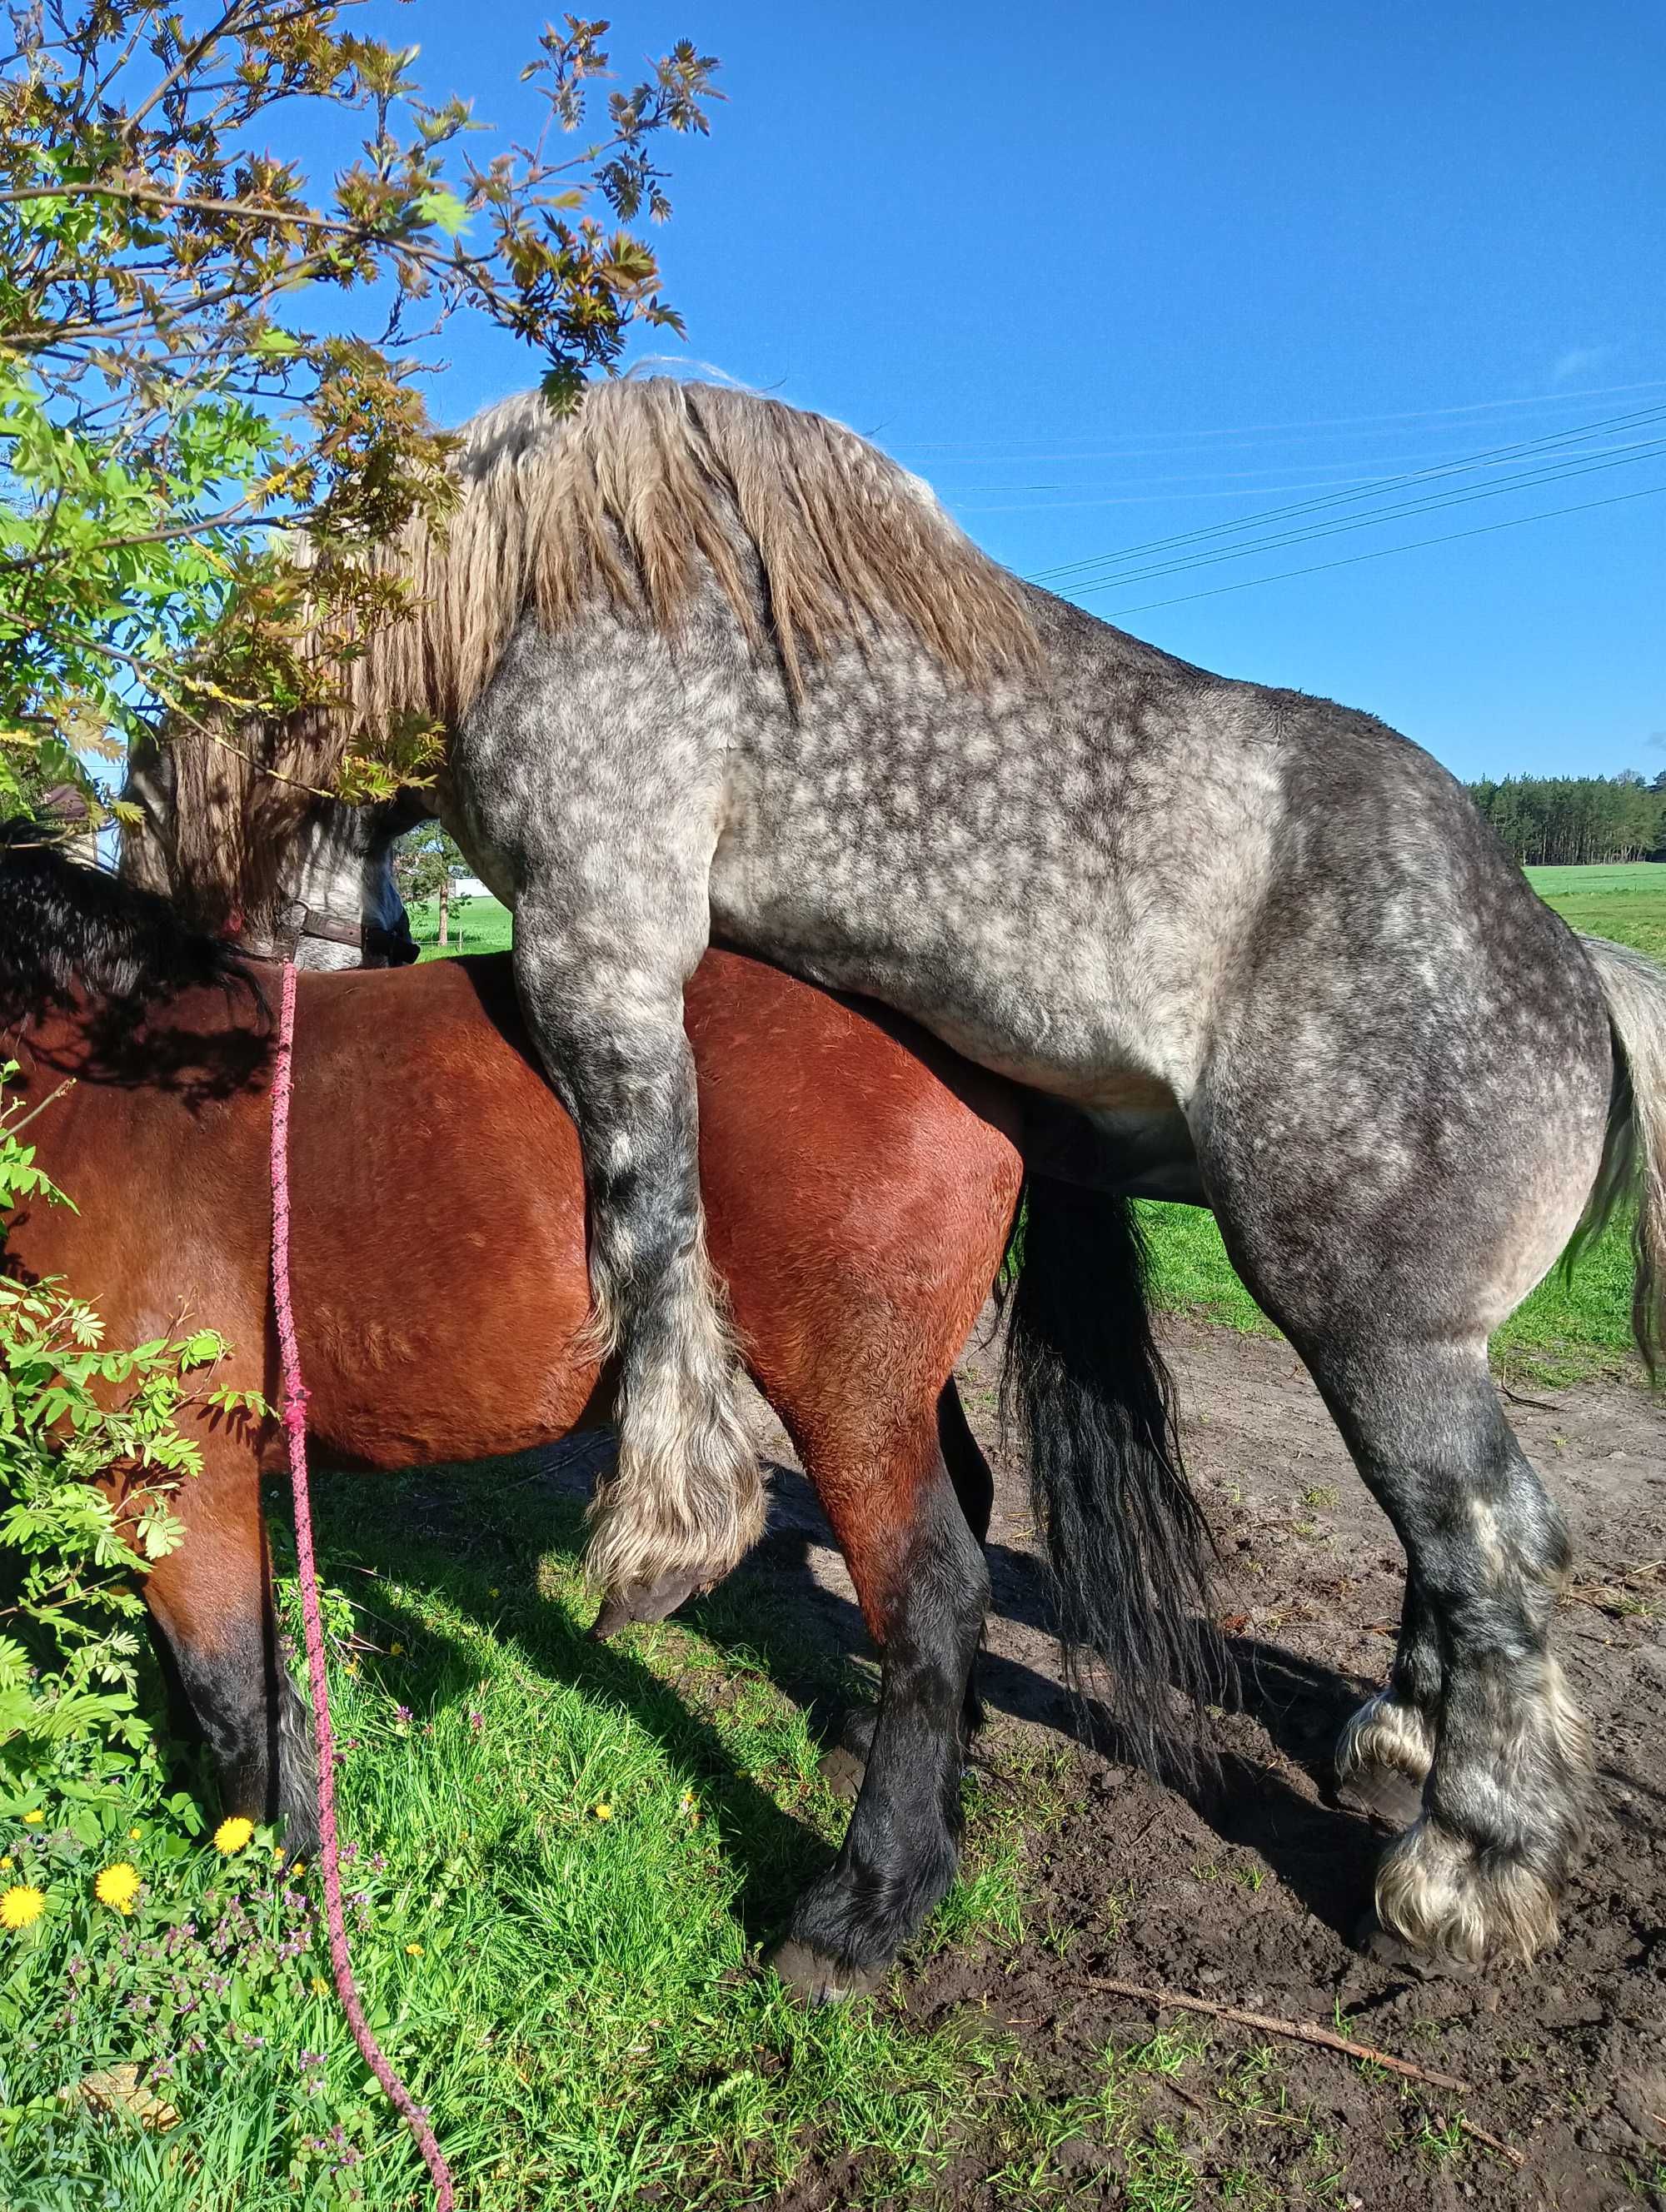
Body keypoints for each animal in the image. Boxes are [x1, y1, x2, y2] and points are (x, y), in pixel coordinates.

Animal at [0, 835, 1212, 2000]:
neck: (112, 1090)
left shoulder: (171, 1474)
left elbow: (232, 1700)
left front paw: (270, 1890)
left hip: (849, 1391)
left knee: (935, 1596)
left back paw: (862, 1908)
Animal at [156, 380, 1664, 1973]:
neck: (529, 573)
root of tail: (1573, 968)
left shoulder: (604, 935)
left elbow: (650, 1207)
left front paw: (666, 1526)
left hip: (1373, 1326)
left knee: (1494, 1541)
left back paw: (1464, 1867)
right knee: (1446, 1549)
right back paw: (1392, 1748)